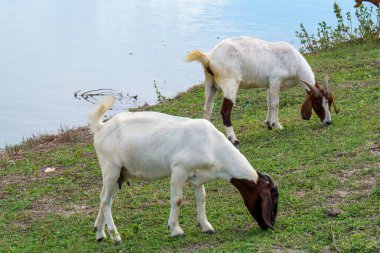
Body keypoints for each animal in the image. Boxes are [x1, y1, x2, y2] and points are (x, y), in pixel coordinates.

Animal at [90, 96, 280, 244]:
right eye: (273, 200)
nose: (269, 225)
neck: (211, 145)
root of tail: (101, 127)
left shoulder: (198, 176)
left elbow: (202, 197)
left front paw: (206, 226)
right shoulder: (179, 169)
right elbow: (178, 200)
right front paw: (175, 230)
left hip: (121, 174)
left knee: (105, 198)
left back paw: (100, 233)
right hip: (111, 169)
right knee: (106, 201)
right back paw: (116, 236)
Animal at [186, 36, 338, 145]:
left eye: (329, 102)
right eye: (317, 104)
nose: (328, 122)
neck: (293, 61)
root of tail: (209, 57)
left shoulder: (269, 84)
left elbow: (269, 102)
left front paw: (269, 124)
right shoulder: (276, 80)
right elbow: (275, 103)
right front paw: (277, 125)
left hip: (210, 85)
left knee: (207, 110)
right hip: (230, 84)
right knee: (225, 112)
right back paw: (234, 139)